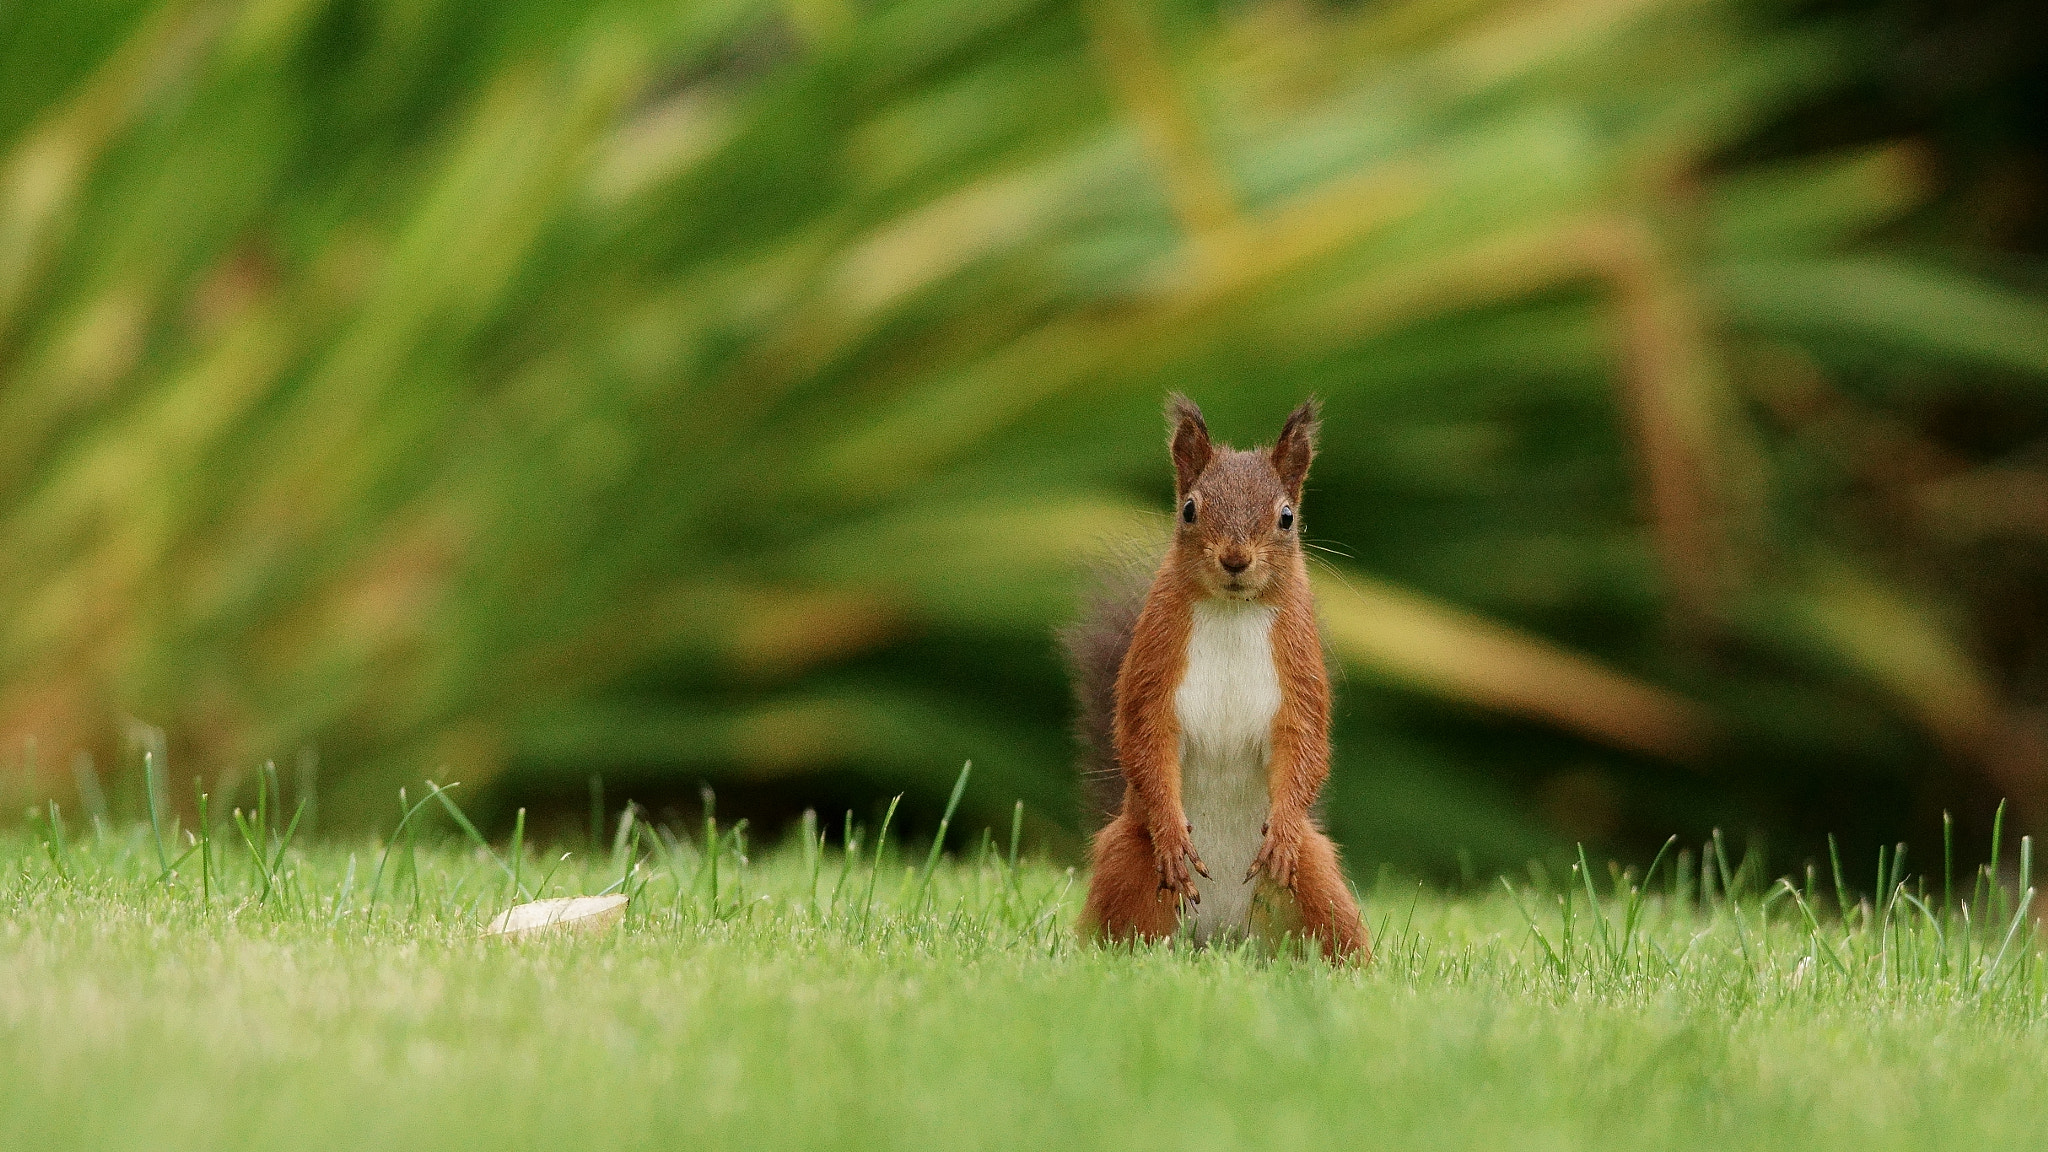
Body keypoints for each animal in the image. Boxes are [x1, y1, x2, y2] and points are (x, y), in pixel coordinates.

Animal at [1064, 393, 1368, 959]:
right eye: (1189, 510)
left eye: (1287, 518)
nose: (1235, 558)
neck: (1232, 612)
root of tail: (1220, 939)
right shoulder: (1154, 662)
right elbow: (1144, 738)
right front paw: (1172, 833)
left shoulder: (1299, 667)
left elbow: (1305, 743)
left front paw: (1282, 832)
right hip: (1127, 864)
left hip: (1316, 877)